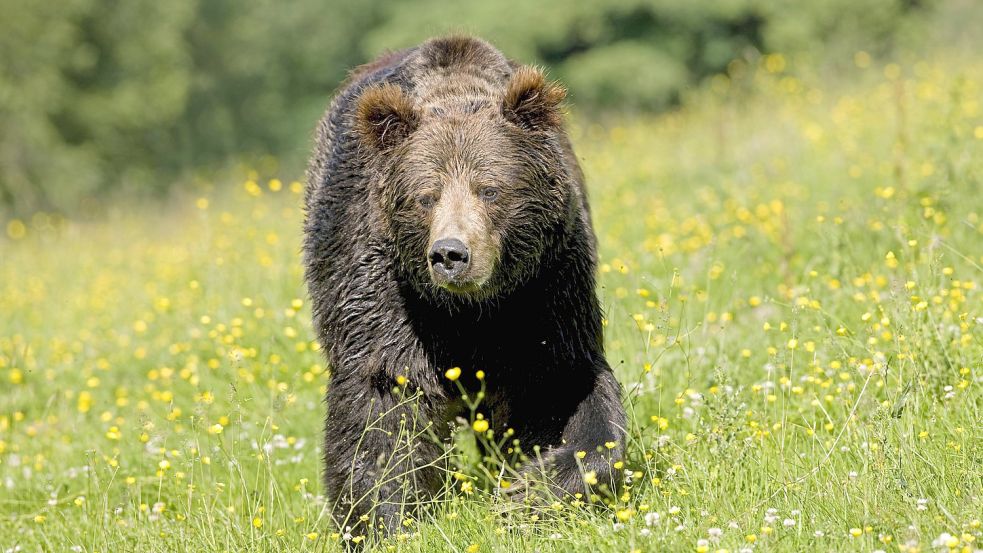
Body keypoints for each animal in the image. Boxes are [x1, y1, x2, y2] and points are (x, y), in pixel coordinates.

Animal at [302, 34, 624, 536]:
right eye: (425, 196)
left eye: (490, 189)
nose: (450, 254)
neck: (471, 309)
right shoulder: (384, 291)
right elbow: (383, 402)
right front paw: (383, 520)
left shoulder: (546, 286)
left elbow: (562, 387)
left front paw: (528, 491)